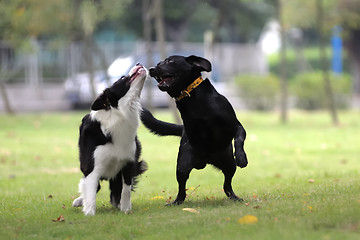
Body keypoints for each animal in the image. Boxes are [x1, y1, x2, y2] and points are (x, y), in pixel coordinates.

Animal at [73, 63, 148, 216]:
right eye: (123, 77)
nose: (139, 64)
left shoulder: (129, 162)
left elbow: (126, 189)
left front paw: (125, 209)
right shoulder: (92, 167)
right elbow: (91, 191)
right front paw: (89, 213)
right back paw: (79, 200)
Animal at [141, 54, 248, 204]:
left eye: (170, 61)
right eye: (158, 63)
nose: (151, 69)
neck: (195, 100)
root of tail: (206, 161)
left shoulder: (236, 126)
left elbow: (239, 139)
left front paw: (241, 157)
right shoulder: (191, 129)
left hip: (229, 165)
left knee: (227, 184)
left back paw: (234, 197)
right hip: (182, 166)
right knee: (182, 189)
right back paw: (176, 202)